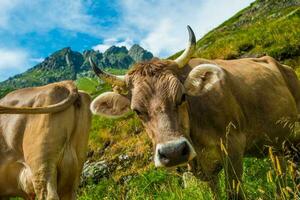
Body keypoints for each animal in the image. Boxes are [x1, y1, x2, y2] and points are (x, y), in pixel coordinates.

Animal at [88, 25, 300, 199]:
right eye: (137, 111)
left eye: (182, 97)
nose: (173, 152)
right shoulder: (205, 170)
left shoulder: (232, 146)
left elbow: (234, 193)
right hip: (277, 144)